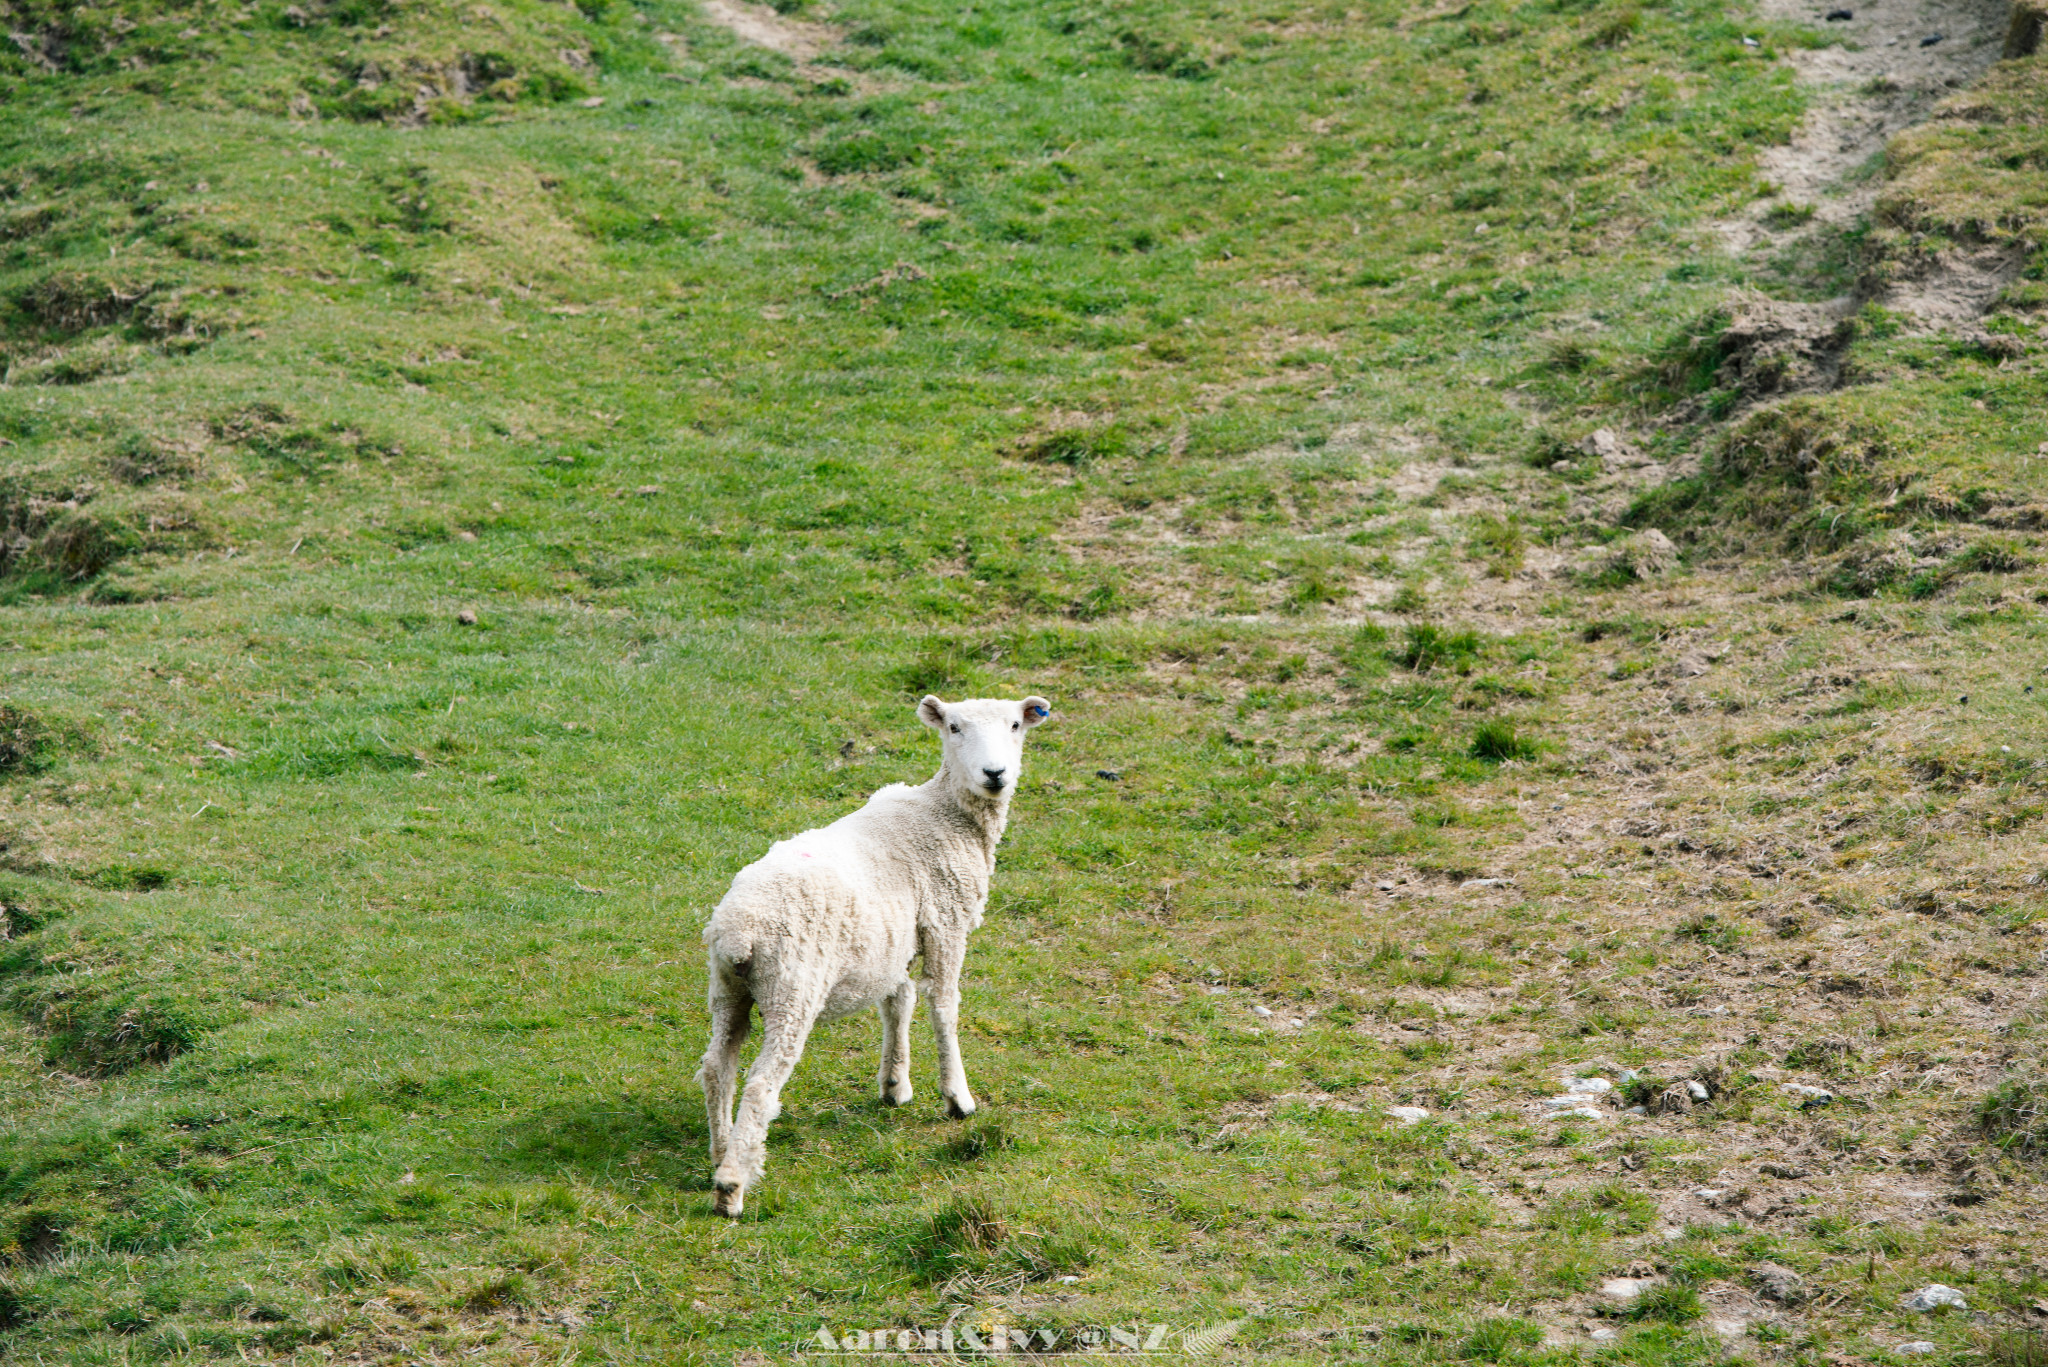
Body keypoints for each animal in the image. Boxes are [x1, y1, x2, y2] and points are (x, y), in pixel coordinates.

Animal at [704, 696, 1056, 1221]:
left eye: (1015, 725)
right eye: (954, 727)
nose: (995, 773)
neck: (947, 813)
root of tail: (737, 931)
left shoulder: (896, 941)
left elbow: (899, 1001)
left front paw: (895, 1084)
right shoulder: (946, 923)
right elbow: (943, 1007)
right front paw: (958, 1098)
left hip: (728, 990)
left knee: (716, 1067)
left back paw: (720, 1151)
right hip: (793, 988)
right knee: (760, 1084)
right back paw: (732, 1185)